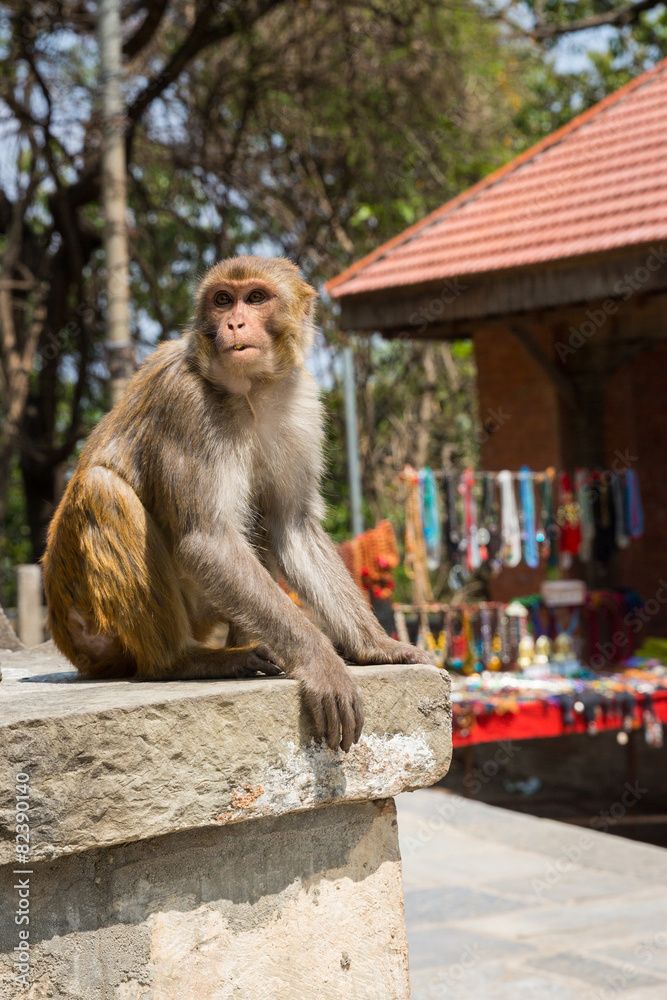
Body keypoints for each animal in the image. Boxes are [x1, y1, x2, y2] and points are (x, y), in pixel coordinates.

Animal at [42, 255, 434, 752]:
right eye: (223, 299)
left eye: (257, 297)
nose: (234, 323)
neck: (251, 391)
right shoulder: (187, 402)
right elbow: (207, 539)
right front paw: (322, 663)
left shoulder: (302, 404)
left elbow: (292, 526)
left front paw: (375, 646)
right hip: (93, 629)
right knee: (102, 489)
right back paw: (182, 661)